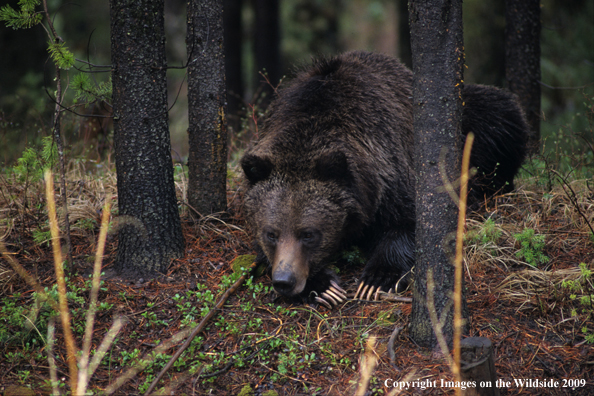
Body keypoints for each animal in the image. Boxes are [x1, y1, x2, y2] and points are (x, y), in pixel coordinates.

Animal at [240, 51, 528, 308]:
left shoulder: (392, 167)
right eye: (272, 233)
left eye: (308, 234)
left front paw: (376, 280)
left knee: (500, 113)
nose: (284, 281)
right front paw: (323, 287)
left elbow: (408, 222)